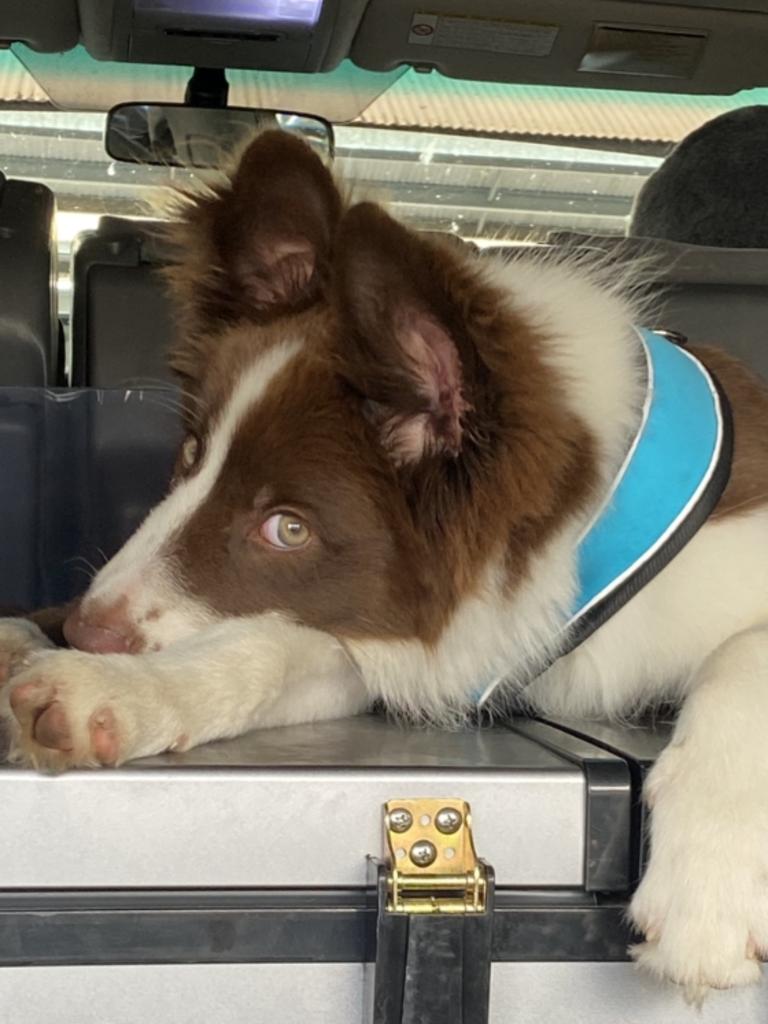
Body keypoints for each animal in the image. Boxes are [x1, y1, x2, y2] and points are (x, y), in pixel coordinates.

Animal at [1, 132, 768, 995]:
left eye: (288, 528)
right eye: (191, 456)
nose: (85, 630)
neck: (579, 526)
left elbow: (746, 657)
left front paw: (710, 892)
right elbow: (270, 647)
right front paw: (116, 692)